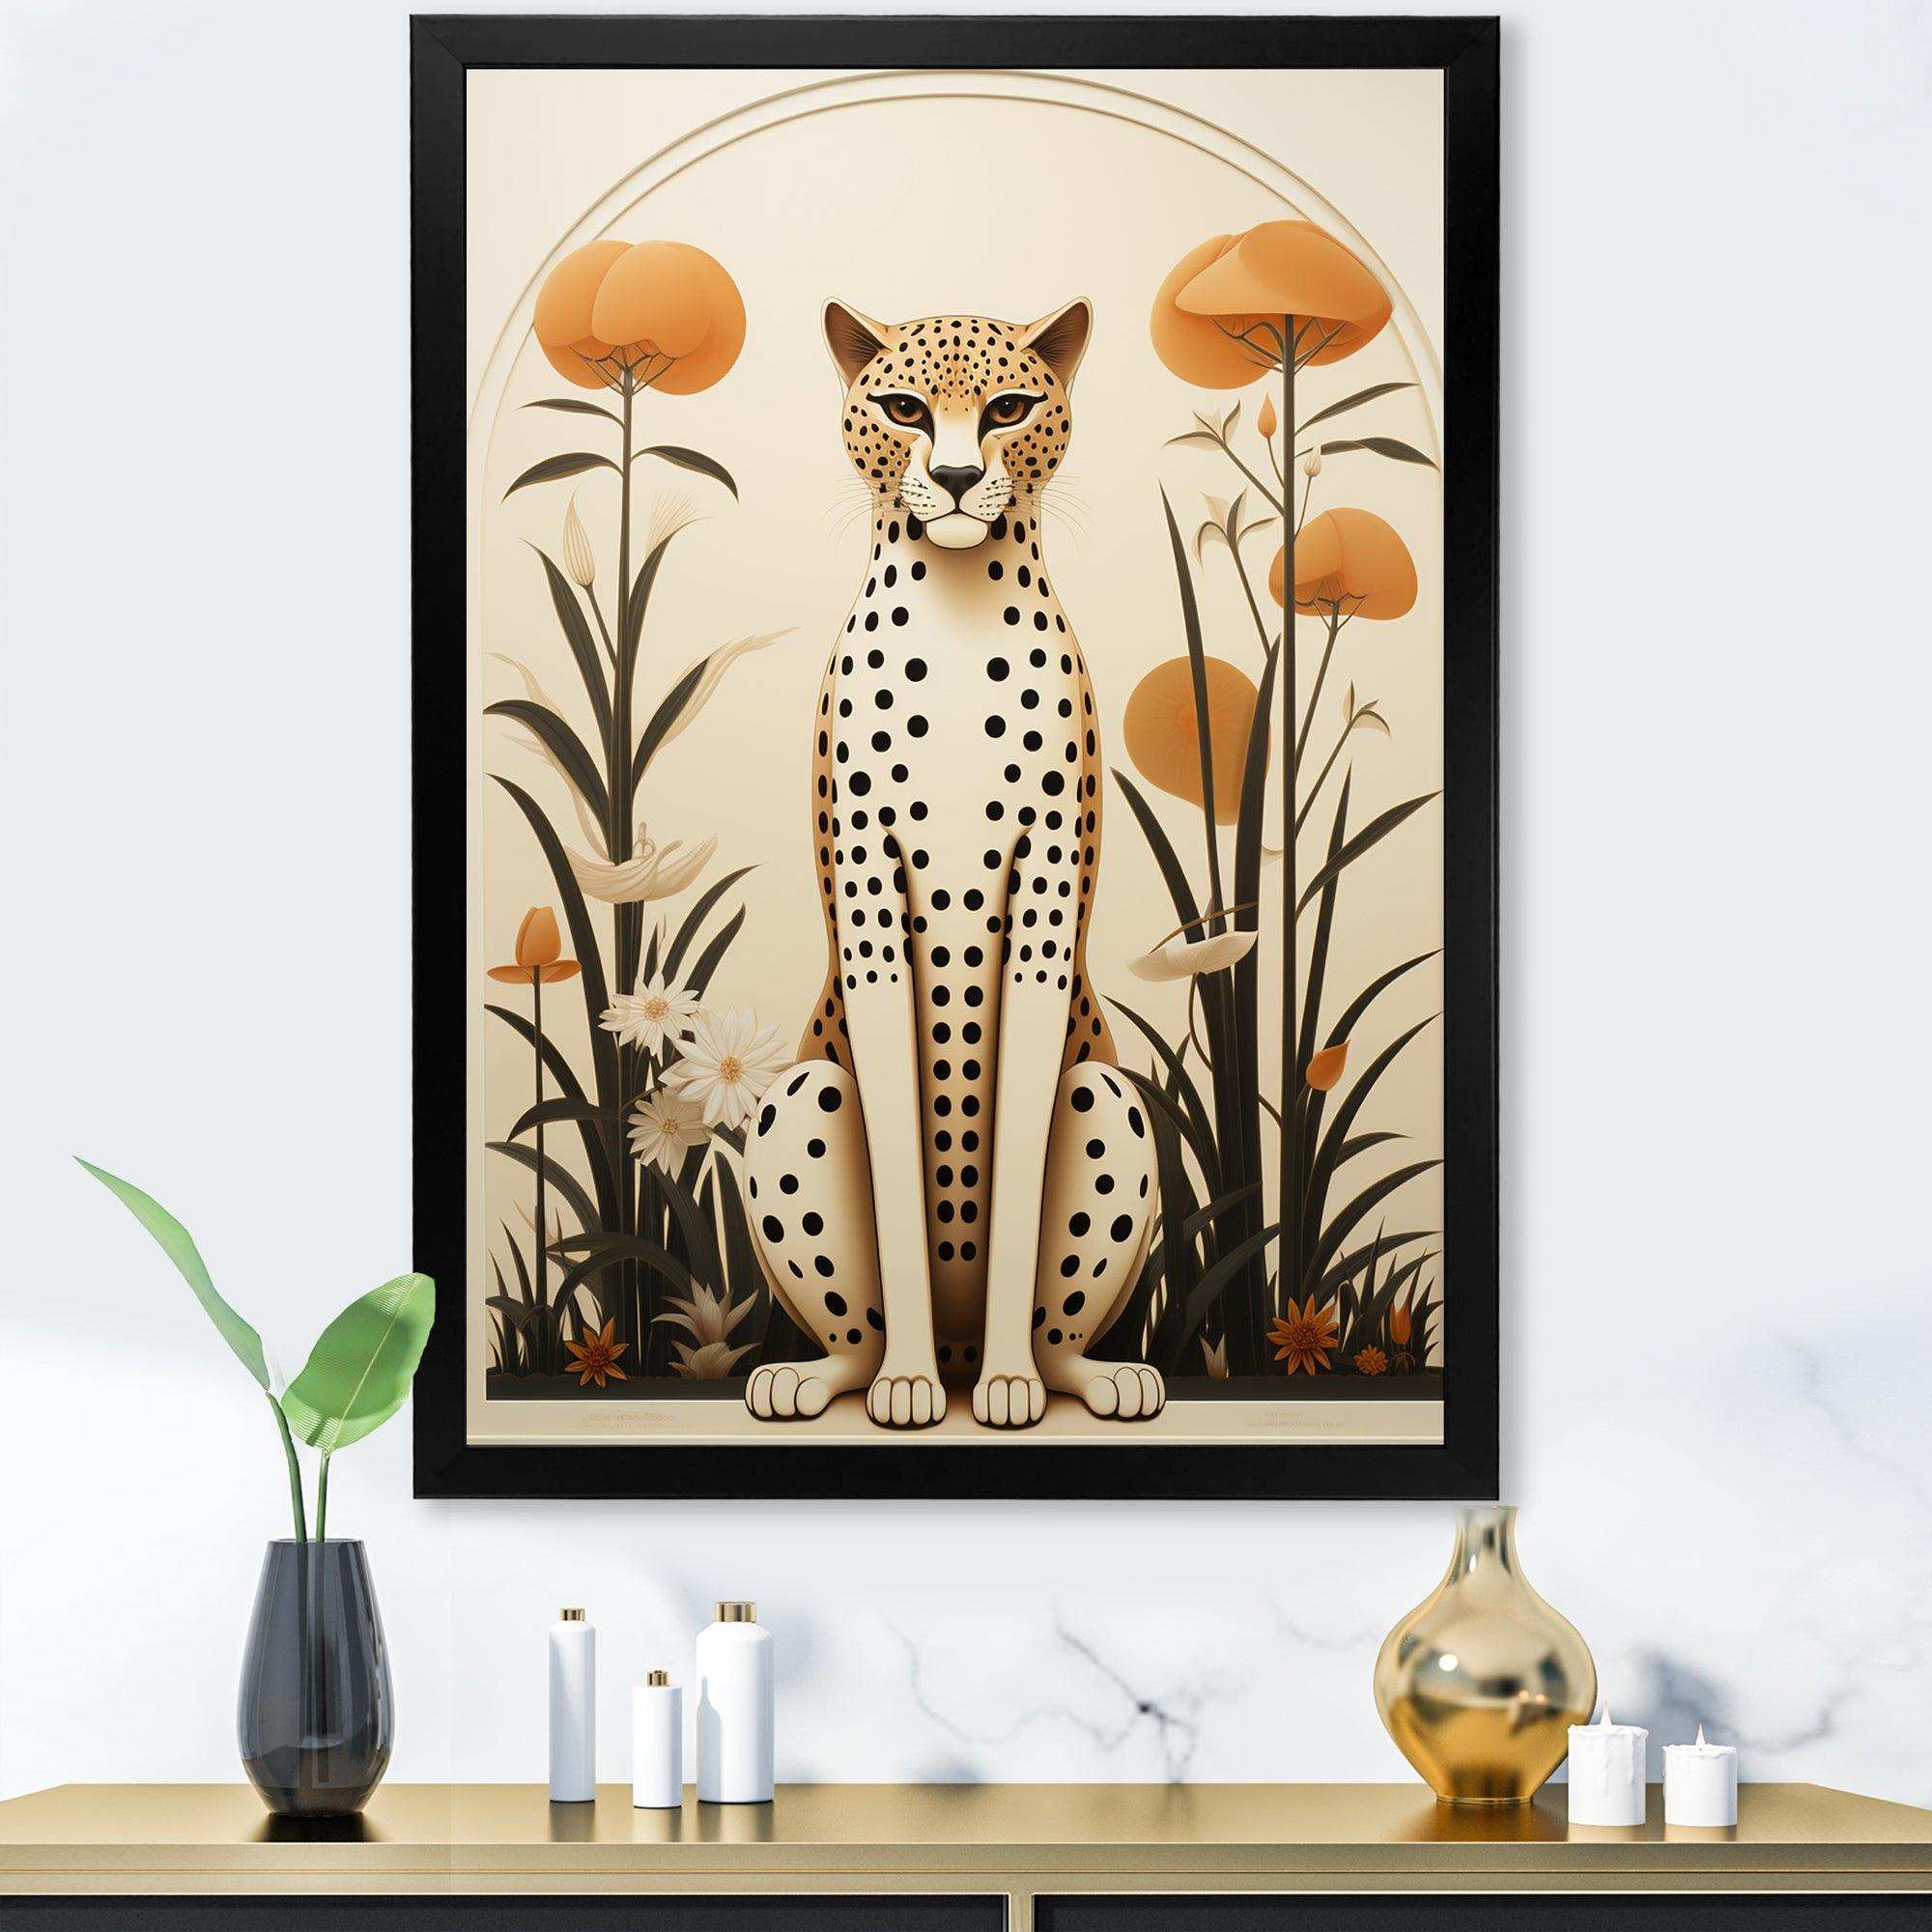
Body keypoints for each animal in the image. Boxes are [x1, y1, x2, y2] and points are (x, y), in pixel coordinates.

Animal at [741, 299, 1165, 1431]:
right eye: (903, 408)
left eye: (1009, 407)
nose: (966, 475)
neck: (958, 602)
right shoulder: (873, 921)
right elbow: (899, 1167)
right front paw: (908, 1386)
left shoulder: (1042, 922)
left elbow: (1011, 1162)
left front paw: (1011, 1385)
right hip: (805, 1093)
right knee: (855, 1327)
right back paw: (832, 1375)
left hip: (1103, 1095)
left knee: (1061, 1320)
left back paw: (1068, 1373)